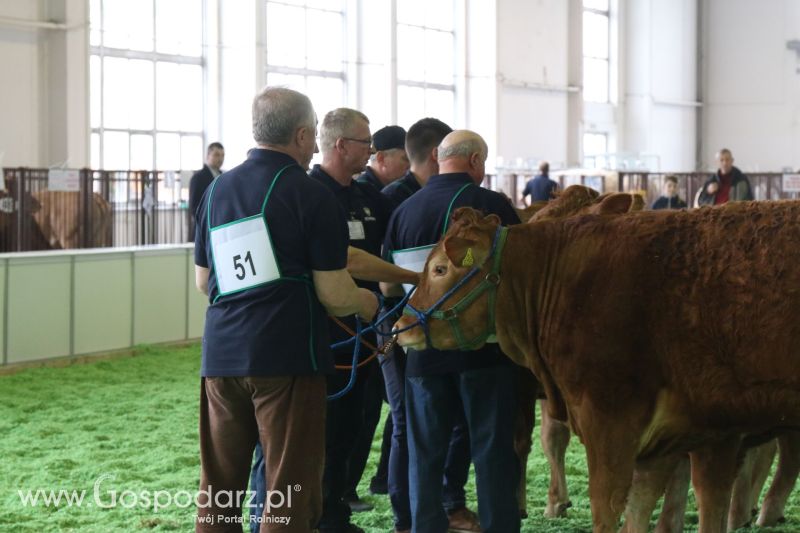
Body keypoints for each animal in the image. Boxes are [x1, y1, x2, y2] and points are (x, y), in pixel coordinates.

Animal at [396, 202, 800, 528]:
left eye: (439, 269)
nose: (402, 326)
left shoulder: (609, 418)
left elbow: (607, 504)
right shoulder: (694, 434)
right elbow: (656, 506)